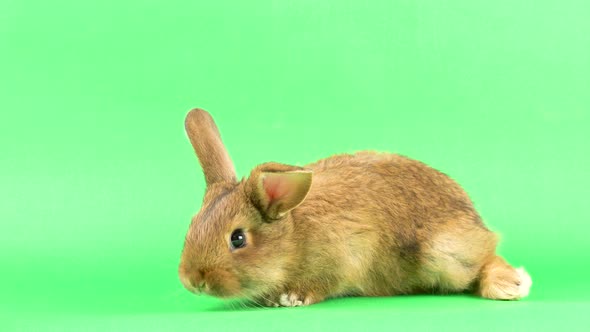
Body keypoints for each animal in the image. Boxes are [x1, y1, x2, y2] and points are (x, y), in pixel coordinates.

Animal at [178, 108, 536, 306]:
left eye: (237, 239)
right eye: (192, 226)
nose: (191, 281)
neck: (294, 235)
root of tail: (478, 224)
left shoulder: (344, 256)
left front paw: (291, 299)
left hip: (445, 255)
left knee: (484, 259)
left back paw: (509, 285)